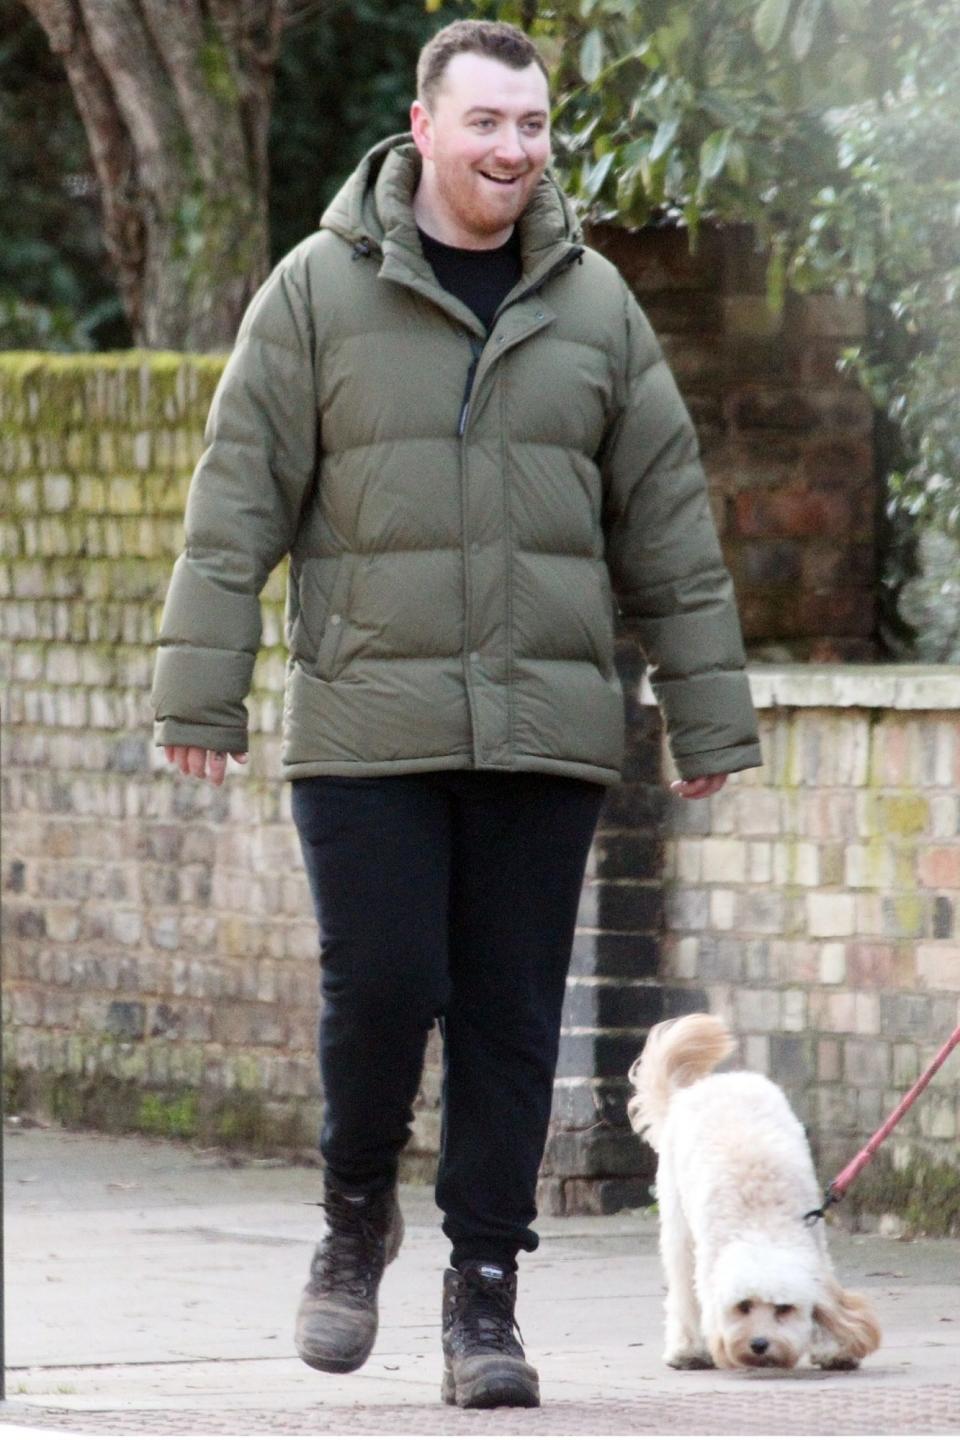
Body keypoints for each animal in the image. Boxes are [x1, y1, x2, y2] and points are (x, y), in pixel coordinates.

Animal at [627, 1013, 880, 1370]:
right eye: (743, 1307)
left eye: (784, 1309)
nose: (759, 1344)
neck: (761, 1221)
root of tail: (699, 1087)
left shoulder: (816, 1247)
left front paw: (834, 1349)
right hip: (678, 1228)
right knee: (683, 1290)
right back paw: (687, 1349)